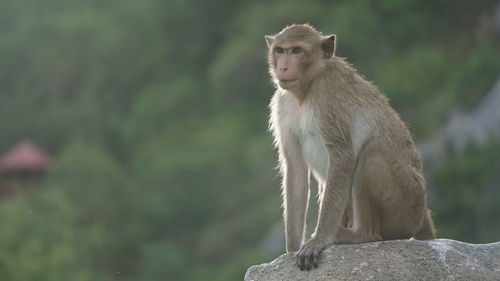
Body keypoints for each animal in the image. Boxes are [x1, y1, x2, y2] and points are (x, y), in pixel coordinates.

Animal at [264, 24, 436, 272]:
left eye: (296, 50)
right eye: (280, 50)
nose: (283, 66)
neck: (306, 89)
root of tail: (423, 215)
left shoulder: (327, 95)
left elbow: (342, 157)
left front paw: (319, 240)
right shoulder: (282, 104)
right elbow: (296, 170)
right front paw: (290, 249)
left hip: (407, 204)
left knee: (373, 153)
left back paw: (361, 235)